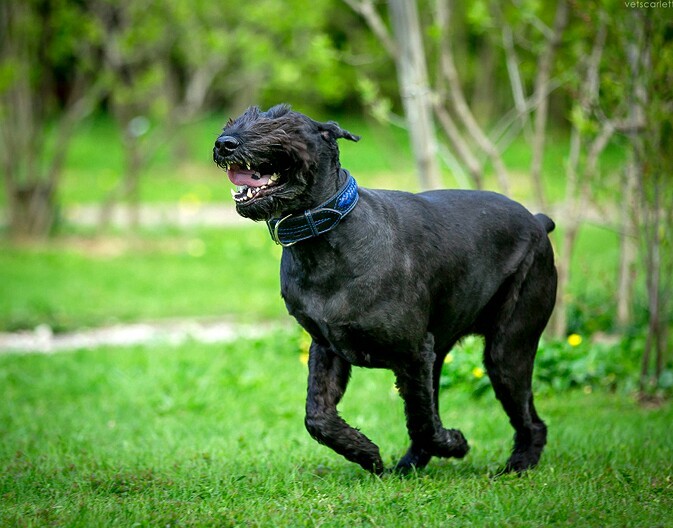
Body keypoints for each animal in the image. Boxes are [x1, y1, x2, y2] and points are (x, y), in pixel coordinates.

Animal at [211, 104, 556, 474]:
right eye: (238, 119)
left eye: (282, 122)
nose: (224, 144)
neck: (327, 234)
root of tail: (538, 221)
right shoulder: (327, 347)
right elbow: (317, 417)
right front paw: (366, 453)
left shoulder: (413, 353)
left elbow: (421, 421)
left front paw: (455, 443)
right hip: (442, 352)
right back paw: (410, 465)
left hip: (506, 349)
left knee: (530, 420)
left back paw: (517, 466)